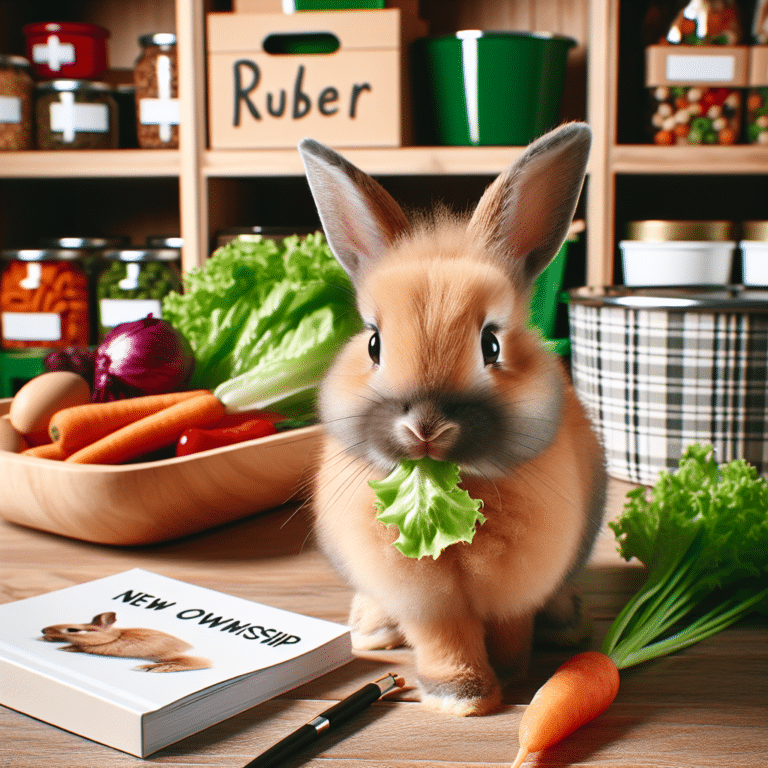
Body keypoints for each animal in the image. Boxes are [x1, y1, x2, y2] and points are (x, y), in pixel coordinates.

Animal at [40, 612, 212, 672]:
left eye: (72, 629)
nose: (43, 631)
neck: (114, 635)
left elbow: (77, 645)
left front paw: (63, 648)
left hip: (167, 655)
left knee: (197, 663)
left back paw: (147, 668)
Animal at [298, 122, 607, 717]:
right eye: (373, 343)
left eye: (492, 344)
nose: (425, 427)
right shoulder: (424, 599)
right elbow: (442, 638)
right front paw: (462, 696)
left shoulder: (518, 585)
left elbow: (511, 627)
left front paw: (510, 673)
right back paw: (371, 631)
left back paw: (570, 622)